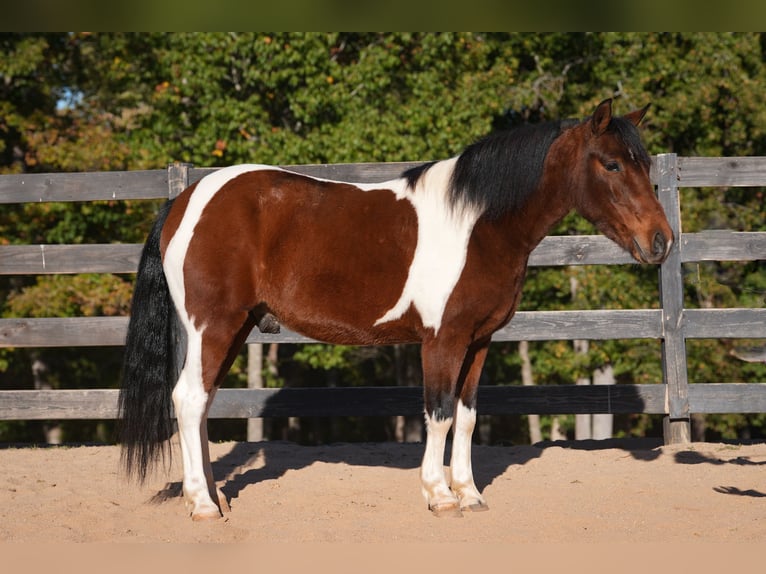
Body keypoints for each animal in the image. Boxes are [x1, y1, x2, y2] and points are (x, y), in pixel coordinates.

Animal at [118, 98, 673, 520]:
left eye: (645, 164)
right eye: (611, 164)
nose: (661, 241)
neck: (479, 224)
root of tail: (185, 200)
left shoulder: (480, 340)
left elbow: (467, 417)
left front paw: (470, 494)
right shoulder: (442, 339)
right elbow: (439, 414)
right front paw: (440, 496)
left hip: (232, 329)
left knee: (202, 402)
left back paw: (216, 498)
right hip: (212, 326)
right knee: (189, 398)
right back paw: (201, 506)